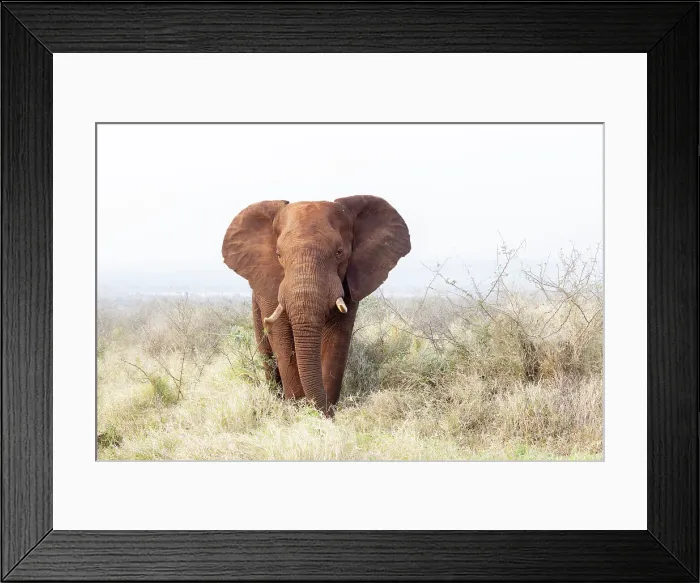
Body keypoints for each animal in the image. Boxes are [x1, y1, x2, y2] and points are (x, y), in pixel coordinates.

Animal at [221, 195, 410, 417]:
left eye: (339, 253)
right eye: (278, 255)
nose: (316, 408)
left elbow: (336, 338)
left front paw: (324, 416)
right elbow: (282, 337)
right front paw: (298, 412)